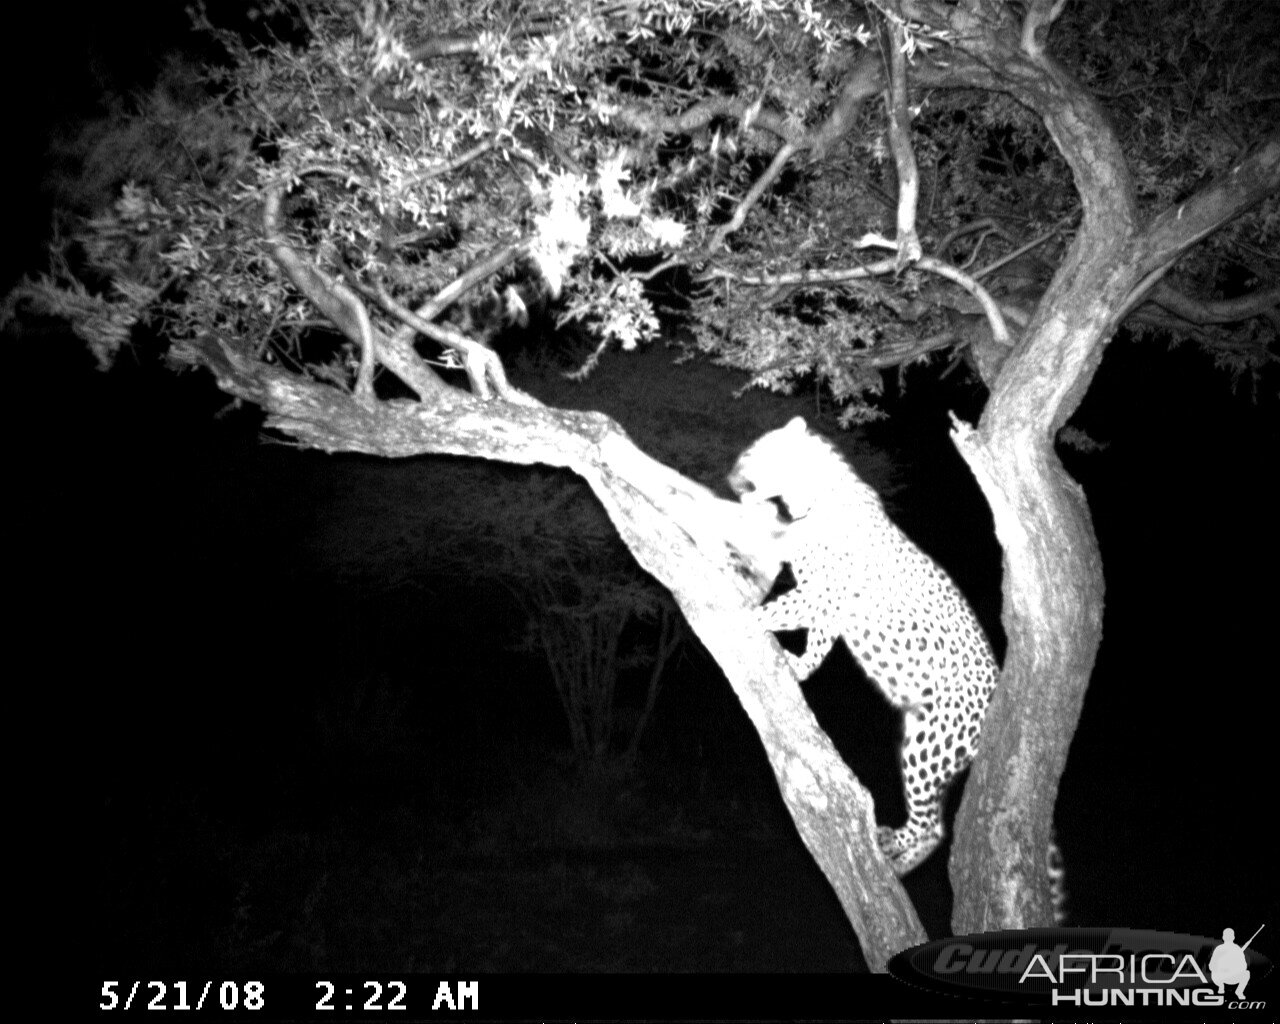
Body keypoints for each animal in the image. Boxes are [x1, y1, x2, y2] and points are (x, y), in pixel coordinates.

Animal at [732, 414, 998, 870]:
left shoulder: (822, 592)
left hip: (931, 744)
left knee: (933, 828)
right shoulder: (827, 603)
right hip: (918, 731)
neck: (810, 495)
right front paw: (800, 666)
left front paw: (739, 615)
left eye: (754, 451)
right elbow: (818, 641)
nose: (732, 478)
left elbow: (776, 609)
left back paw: (895, 854)